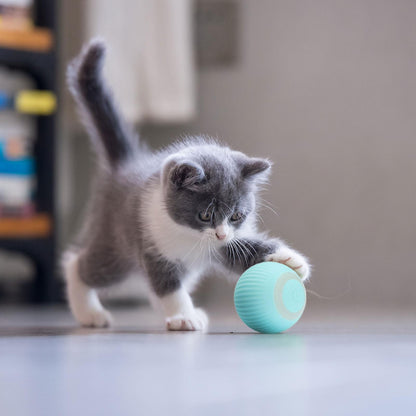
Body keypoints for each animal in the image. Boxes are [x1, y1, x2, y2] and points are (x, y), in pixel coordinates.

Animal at [61, 39, 308, 332]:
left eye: (237, 216)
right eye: (205, 215)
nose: (220, 234)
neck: (190, 236)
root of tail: (127, 164)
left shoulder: (225, 245)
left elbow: (244, 250)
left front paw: (290, 260)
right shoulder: (152, 245)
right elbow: (168, 284)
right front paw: (183, 315)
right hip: (116, 244)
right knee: (80, 264)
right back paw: (89, 311)